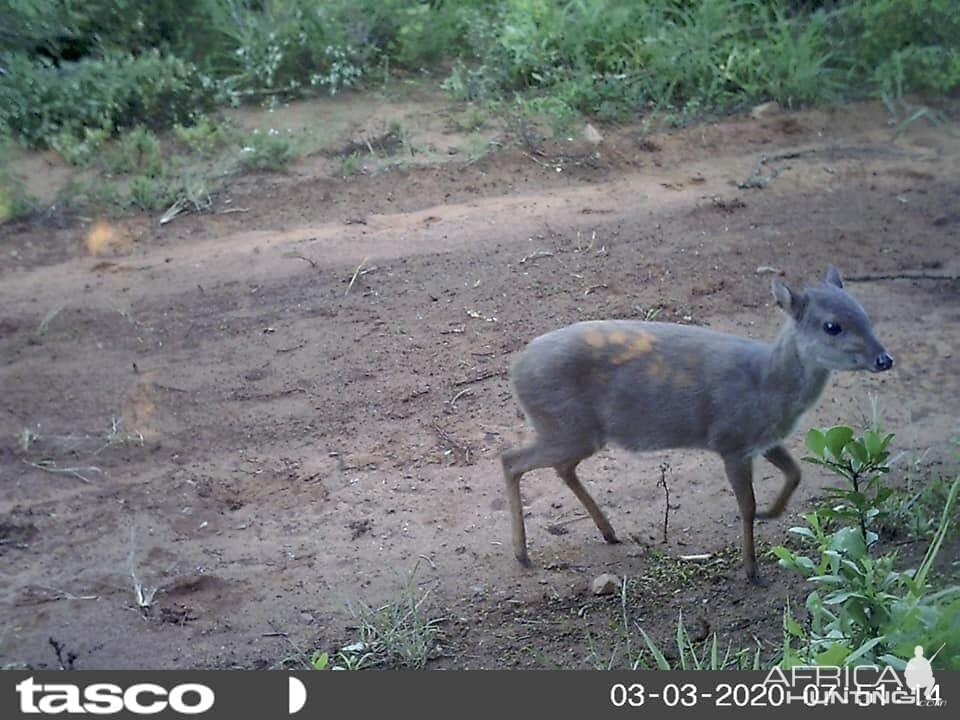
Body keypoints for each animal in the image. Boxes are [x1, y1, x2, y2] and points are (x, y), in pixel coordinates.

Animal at [502, 268, 892, 584]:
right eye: (832, 326)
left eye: (864, 314)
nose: (884, 359)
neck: (767, 386)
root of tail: (516, 370)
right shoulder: (730, 439)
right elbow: (746, 505)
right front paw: (752, 571)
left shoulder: (762, 440)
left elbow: (795, 473)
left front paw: (771, 512)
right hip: (566, 425)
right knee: (511, 460)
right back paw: (522, 554)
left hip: (576, 431)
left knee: (560, 467)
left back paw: (608, 532)